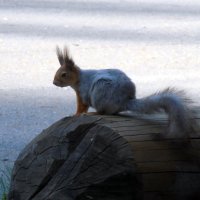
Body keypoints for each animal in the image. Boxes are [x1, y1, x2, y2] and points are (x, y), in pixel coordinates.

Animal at [53, 46, 195, 138]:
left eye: (64, 74)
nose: (54, 82)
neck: (79, 79)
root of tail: (125, 101)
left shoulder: (83, 92)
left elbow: (82, 107)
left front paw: (75, 115)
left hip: (101, 90)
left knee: (104, 112)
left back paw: (94, 113)